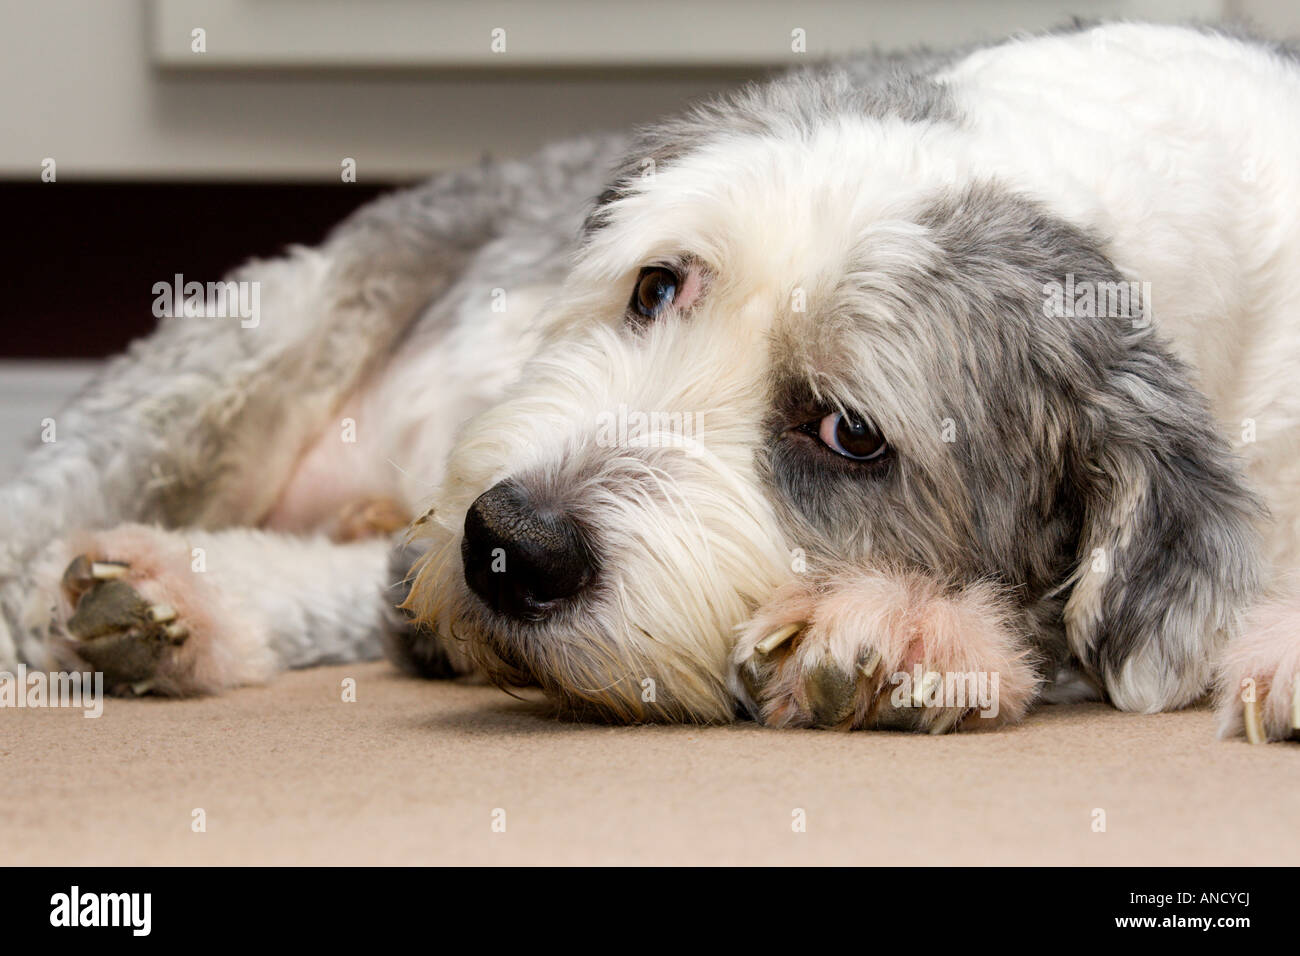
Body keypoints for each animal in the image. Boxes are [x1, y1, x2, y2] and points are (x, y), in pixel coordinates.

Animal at [2, 20, 1300, 738]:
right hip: (255, 342)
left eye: (850, 433)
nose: (511, 545)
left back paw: (168, 605)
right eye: (656, 284)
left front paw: (898, 627)